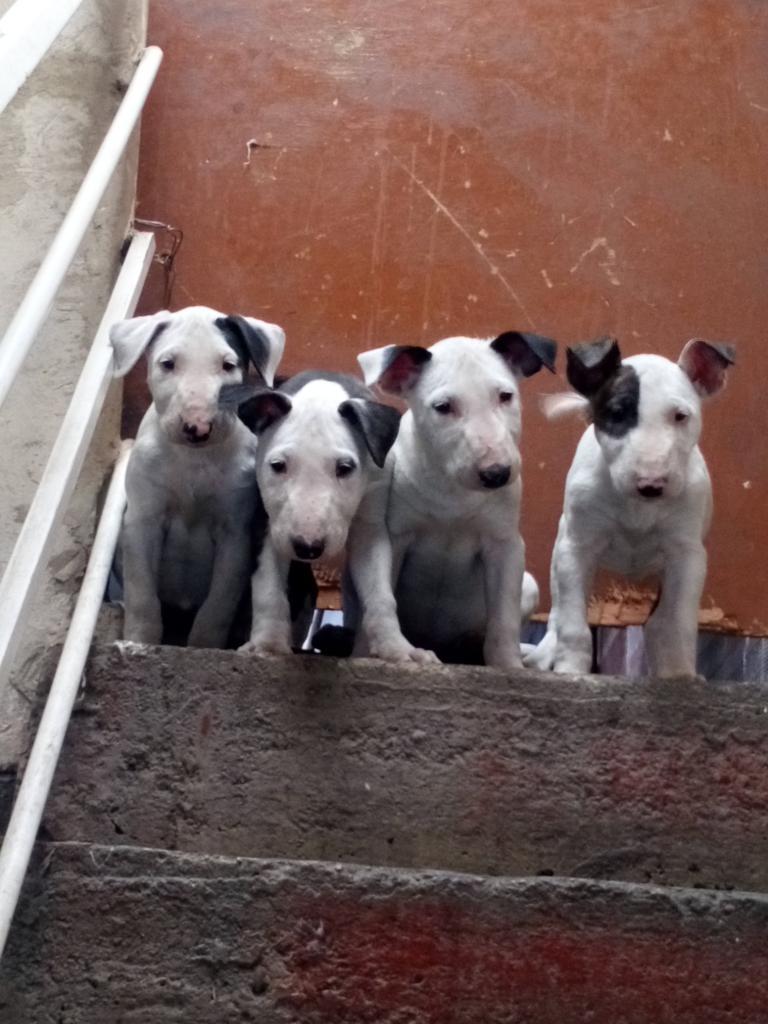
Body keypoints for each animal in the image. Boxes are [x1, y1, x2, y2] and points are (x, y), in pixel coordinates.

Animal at [348, 329, 561, 671]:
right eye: (443, 407)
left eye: (505, 396)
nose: (497, 474)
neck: (452, 493)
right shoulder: (393, 538)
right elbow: (381, 597)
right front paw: (382, 653)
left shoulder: (504, 546)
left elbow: (504, 618)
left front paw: (508, 666)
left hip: (527, 585)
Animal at [528, 335, 737, 679]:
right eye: (617, 413)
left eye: (680, 416)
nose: (651, 485)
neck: (637, 510)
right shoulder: (577, 548)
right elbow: (573, 623)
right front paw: (571, 670)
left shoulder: (687, 555)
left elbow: (677, 624)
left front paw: (680, 675)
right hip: (562, 552)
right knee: (558, 610)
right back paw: (545, 653)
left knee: (659, 623)